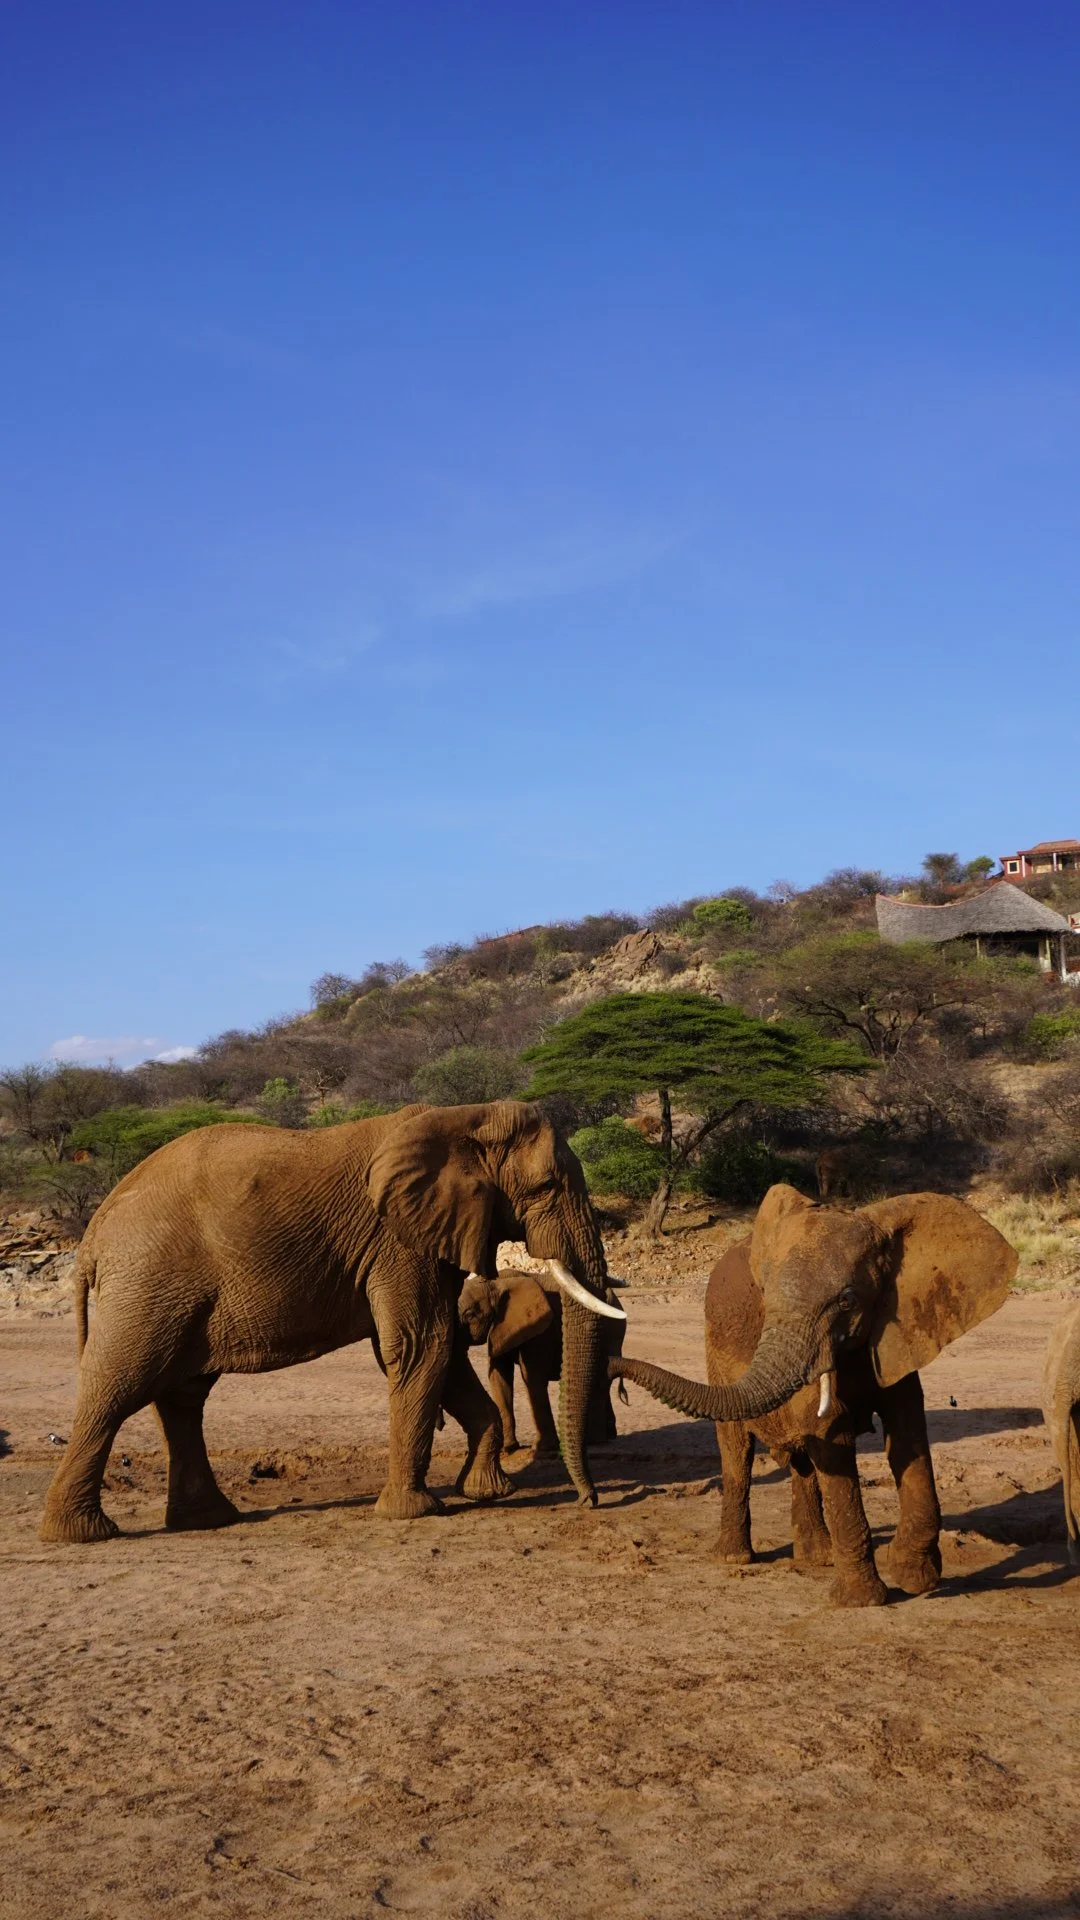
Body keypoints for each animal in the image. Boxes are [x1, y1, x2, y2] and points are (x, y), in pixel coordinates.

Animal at [458, 1268, 627, 1456]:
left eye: (470, 1315)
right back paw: (609, 1435)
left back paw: (595, 1440)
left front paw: (542, 1449)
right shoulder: (499, 1329)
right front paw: (507, 1449)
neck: (498, 1283)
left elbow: (533, 1378)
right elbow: (499, 1378)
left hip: (613, 1331)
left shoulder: (540, 1331)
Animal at [610, 1185, 1016, 1606]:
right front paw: (863, 1601)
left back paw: (817, 1557)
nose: (612, 1368)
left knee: (801, 1457)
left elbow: (907, 1433)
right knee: (737, 1450)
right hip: (713, 1349)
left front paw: (914, 1578)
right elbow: (830, 1432)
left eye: (848, 1301)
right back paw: (735, 1558)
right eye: (764, 1296)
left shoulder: (899, 1330)